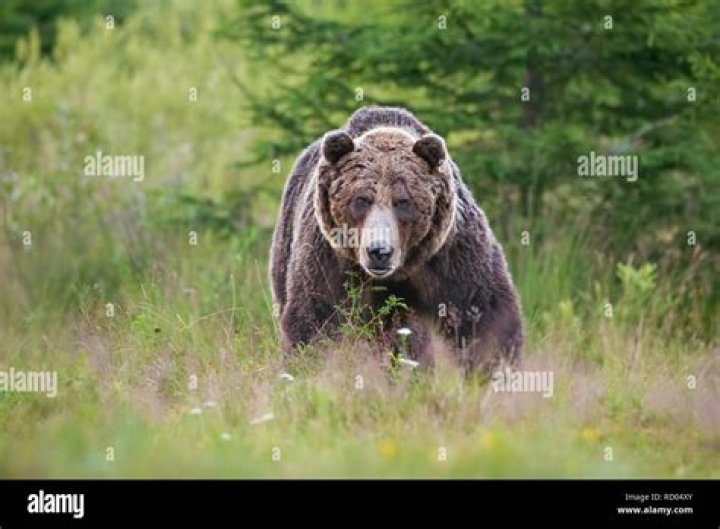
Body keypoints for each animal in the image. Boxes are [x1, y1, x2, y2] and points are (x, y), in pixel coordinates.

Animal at [270, 106, 523, 372]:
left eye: (403, 201)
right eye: (361, 199)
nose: (379, 251)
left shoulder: (450, 254)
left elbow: (483, 313)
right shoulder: (329, 259)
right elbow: (315, 318)